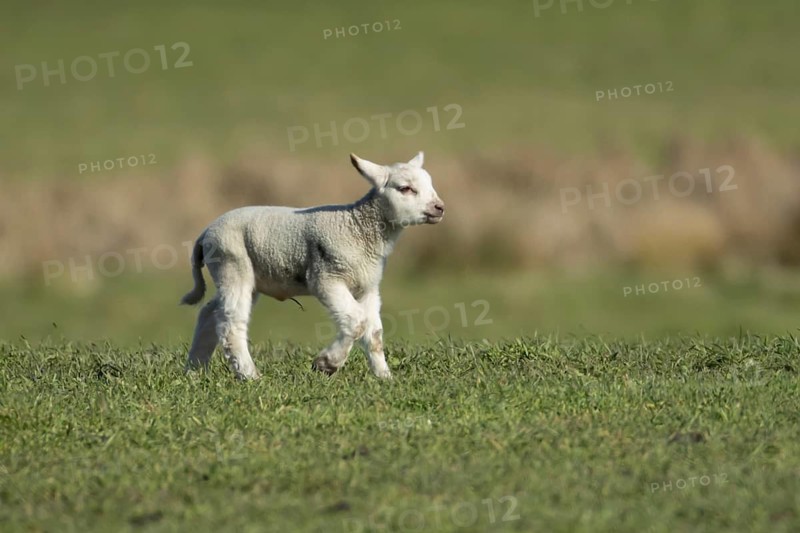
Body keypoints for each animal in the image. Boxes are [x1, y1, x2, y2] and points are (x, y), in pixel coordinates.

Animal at [180, 152, 445, 380]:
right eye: (405, 188)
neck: (357, 227)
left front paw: (384, 376)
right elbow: (356, 322)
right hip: (232, 264)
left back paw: (195, 370)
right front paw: (326, 364)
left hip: (239, 273)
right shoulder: (327, 277)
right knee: (231, 323)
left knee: (209, 314)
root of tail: (205, 234)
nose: (439, 207)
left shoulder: (368, 287)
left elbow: (374, 333)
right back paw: (249, 375)